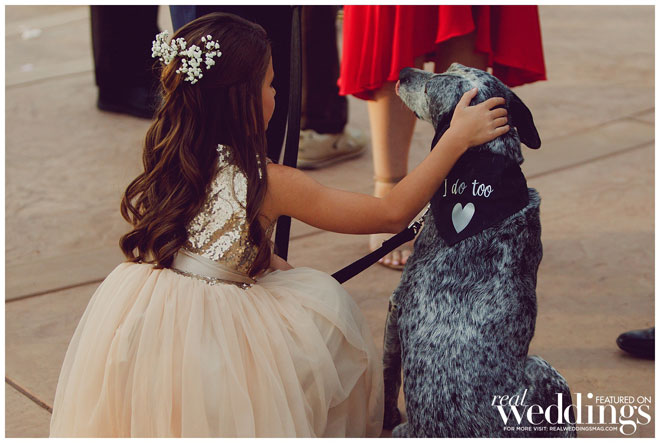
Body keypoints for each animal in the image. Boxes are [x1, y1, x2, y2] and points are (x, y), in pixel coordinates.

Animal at [382, 63, 576, 438]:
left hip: (546, 369)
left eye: (431, 87)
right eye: (449, 67)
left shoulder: (394, 311)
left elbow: (386, 383)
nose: (403, 70)